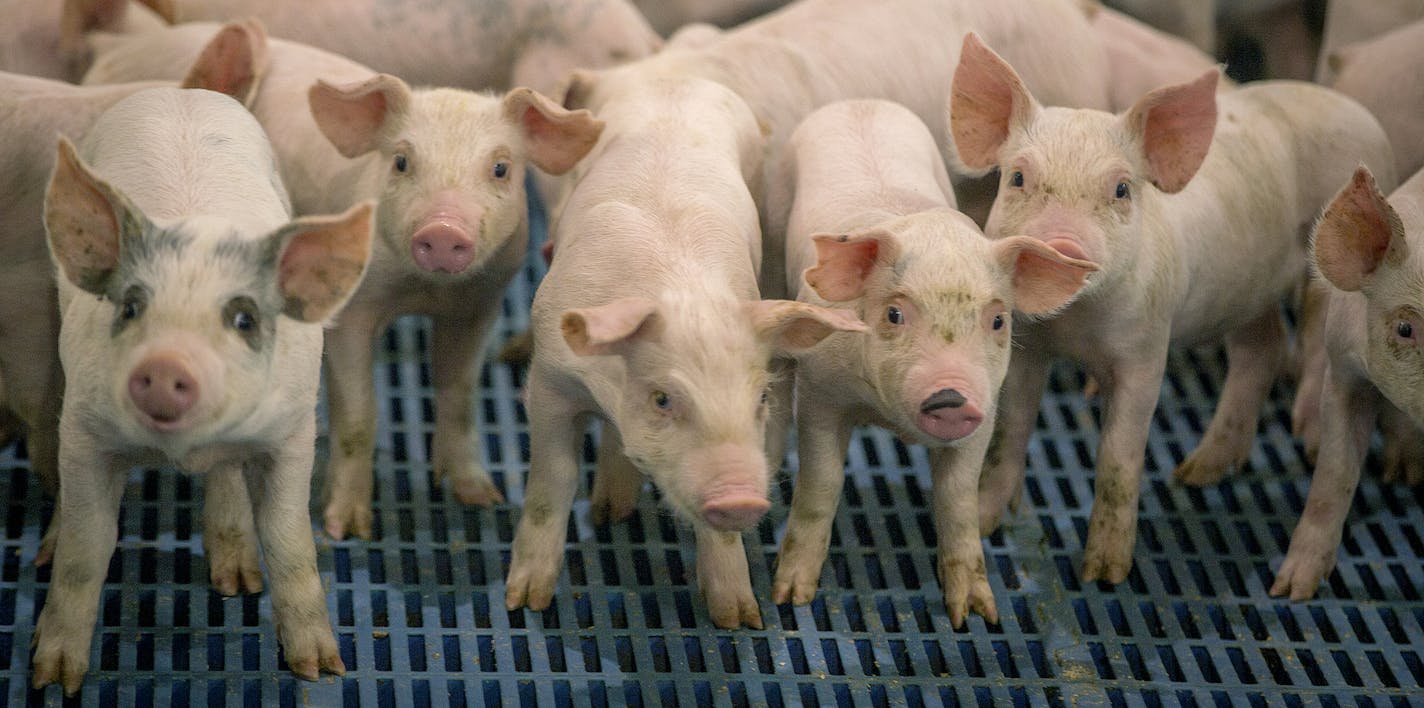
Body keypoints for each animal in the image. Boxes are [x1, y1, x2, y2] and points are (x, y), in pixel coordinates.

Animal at [33, 85, 373, 692]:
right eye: (131, 306)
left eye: (243, 318)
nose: (167, 364)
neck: (181, 451)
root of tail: (180, 92)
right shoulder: (83, 430)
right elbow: (85, 548)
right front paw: (52, 680)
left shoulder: (292, 432)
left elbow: (289, 541)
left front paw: (321, 670)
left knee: (228, 474)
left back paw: (237, 582)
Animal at [774, 98, 1093, 623]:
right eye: (894, 313)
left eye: (998, 320)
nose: (951, 395)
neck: (887, 418)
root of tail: (860, 101)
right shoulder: (819, 392)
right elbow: (821, 483)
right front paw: (791, 598)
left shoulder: (985, 413)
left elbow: (957, 499)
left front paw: (977, 615)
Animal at [951, 33, 1395, 581]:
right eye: (1017, 178)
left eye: (1121, 189)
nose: (1063, 244)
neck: (1078, 328)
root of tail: (1361, 115)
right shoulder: (1029, 344)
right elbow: (1011, 432)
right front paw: (986, 523)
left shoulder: (1147, 346)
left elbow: (1118, 457)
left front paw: (1103, 574)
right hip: (1244, 292)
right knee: (1262, 348)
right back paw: (1196, 473)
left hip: (1327, 278)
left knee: (1311, 347)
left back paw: (1306, 447)